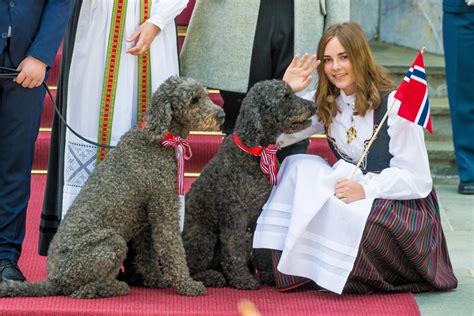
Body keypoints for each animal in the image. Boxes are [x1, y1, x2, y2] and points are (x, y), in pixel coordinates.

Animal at [0, 76, 225, 298]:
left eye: (206, 94)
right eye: (194, 100)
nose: (222, 115)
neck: (159, 140)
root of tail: (54, 280)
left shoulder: (148, 218)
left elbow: (147, 254)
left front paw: (155, 280)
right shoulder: (164, 209)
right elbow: (173, 249)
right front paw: (187, 284)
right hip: (111, 243)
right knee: (83, 290)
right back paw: (115, 287)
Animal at [183, 78, 316, 288]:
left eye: (292, 93)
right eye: (285, 97)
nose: (314, 106)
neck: (255, 152)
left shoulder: (261, 211)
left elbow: (262, 247)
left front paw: (268, 274)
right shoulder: (235, 216)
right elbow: (234, 250)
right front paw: (242, 279)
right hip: (204, 236)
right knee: (191, 267)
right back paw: (212, 276)